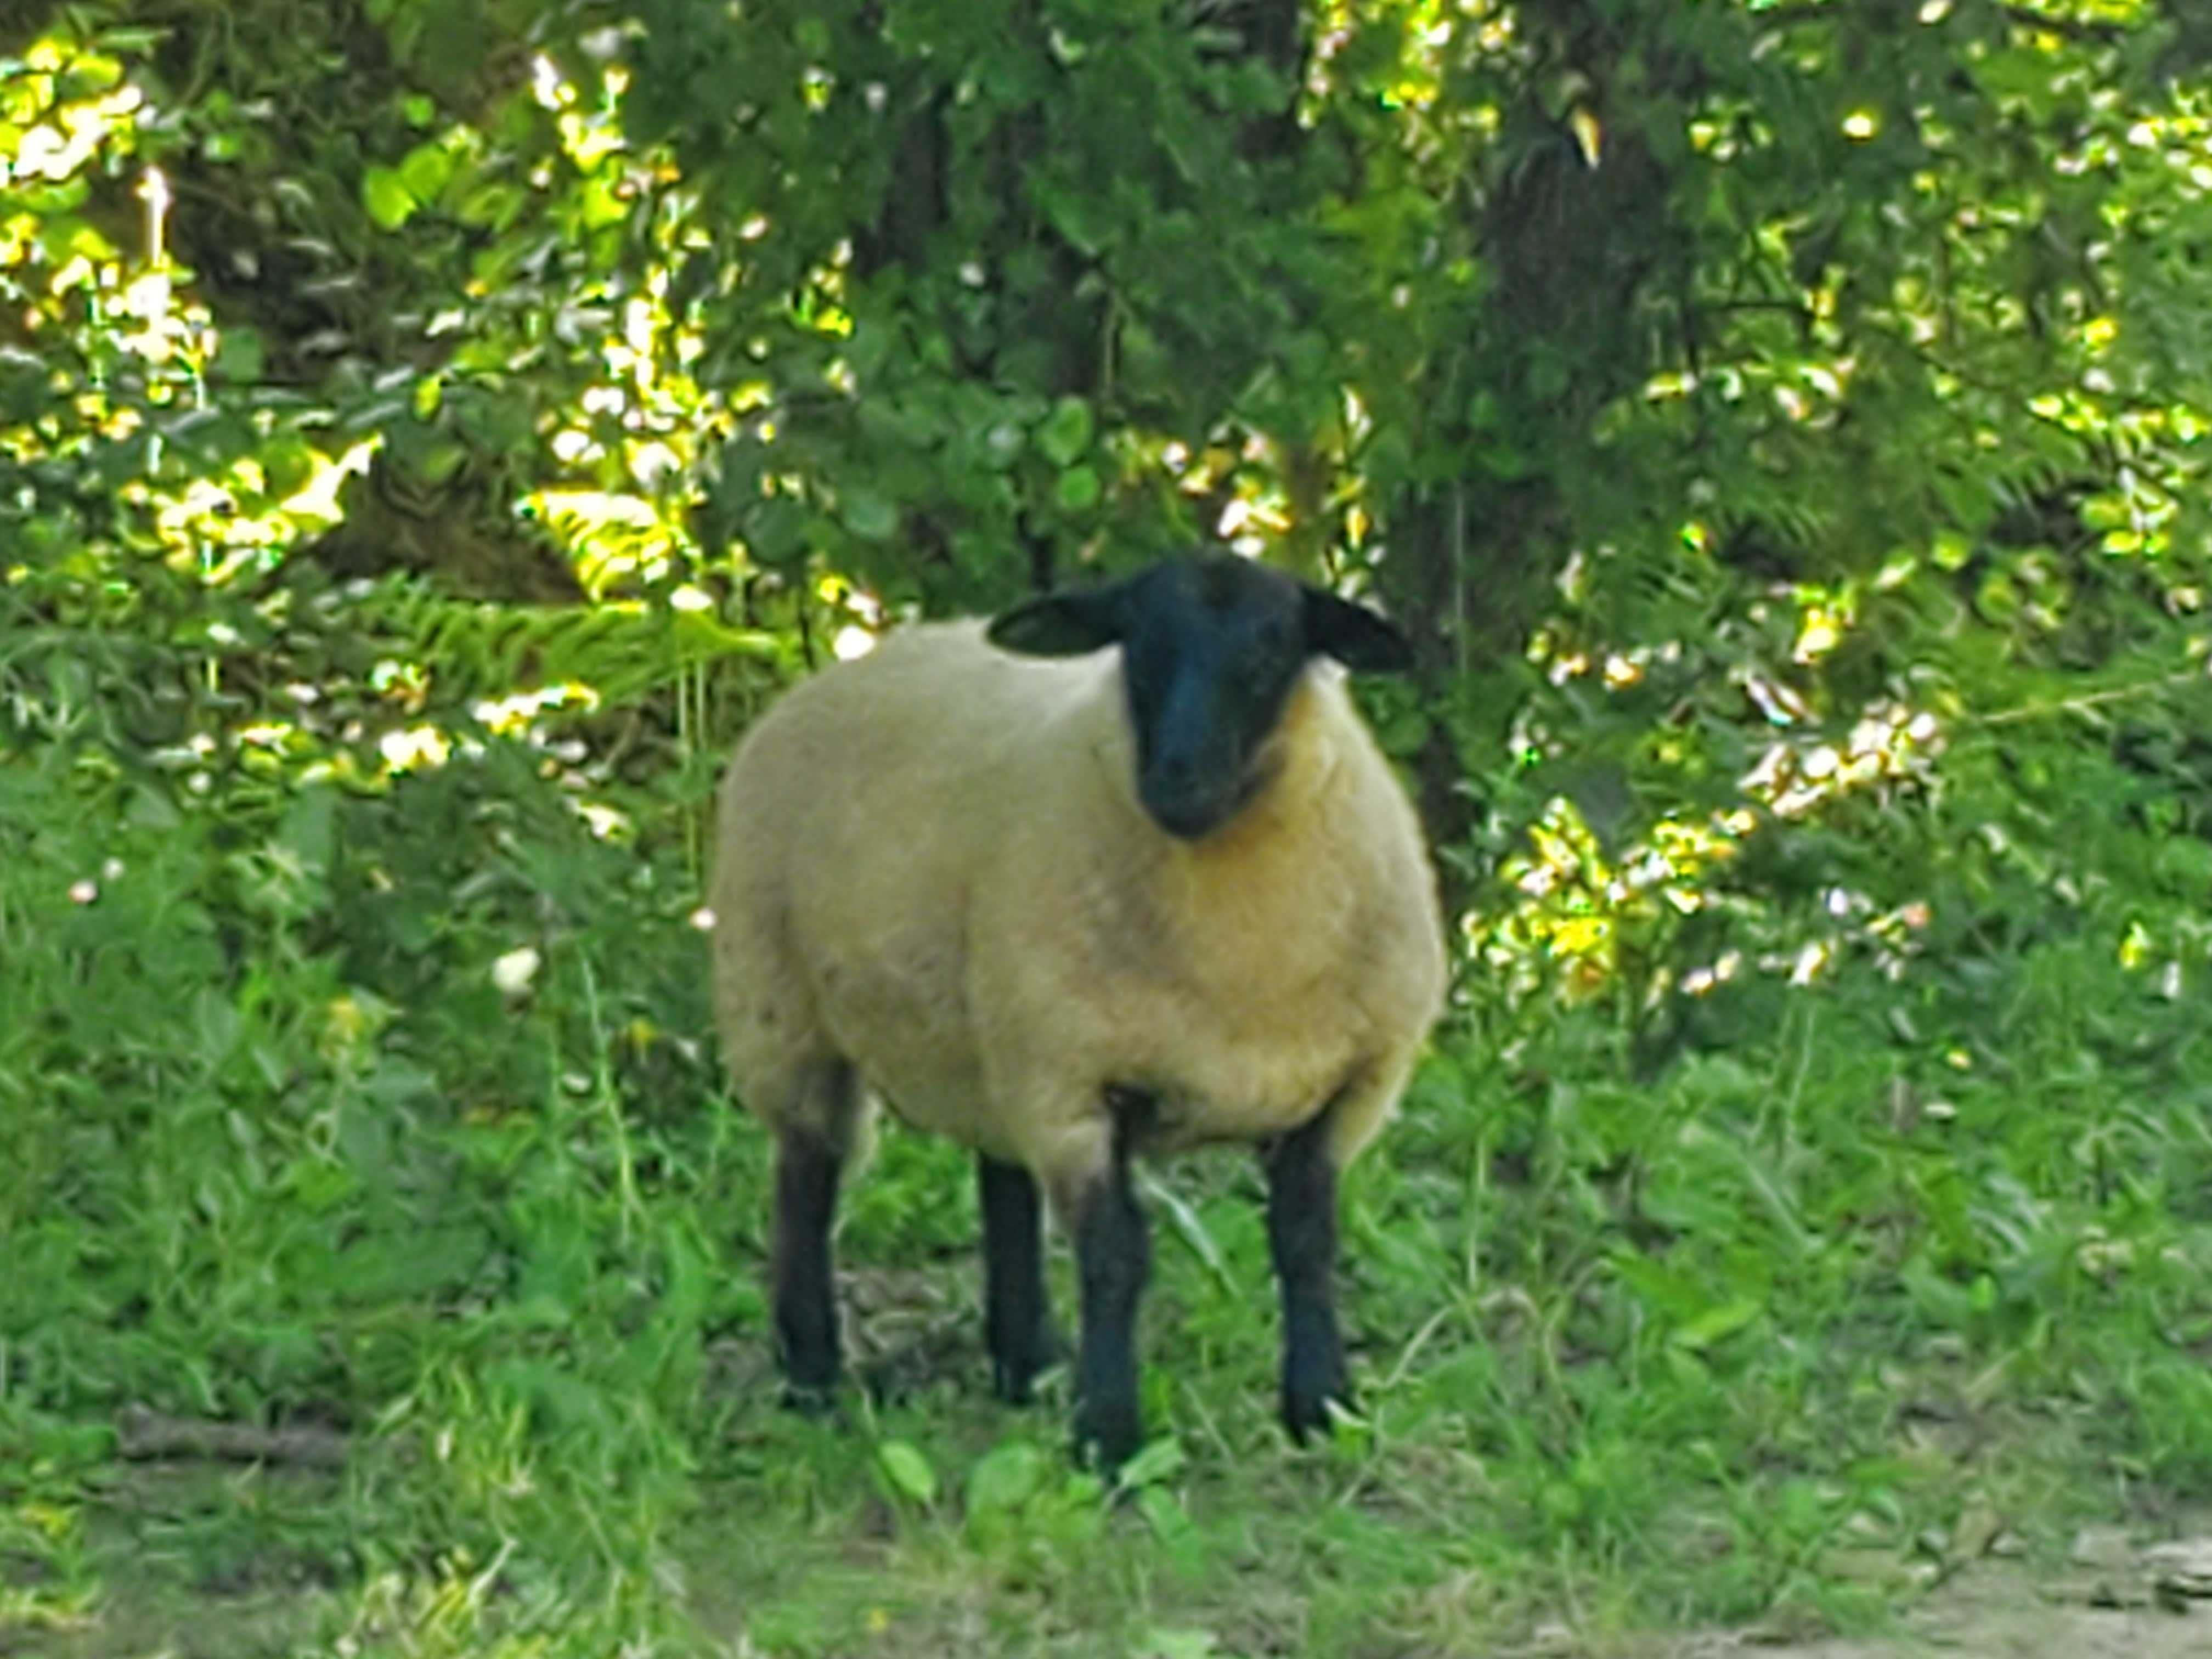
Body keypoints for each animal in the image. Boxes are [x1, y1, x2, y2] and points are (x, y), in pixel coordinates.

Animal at [712, 555, 1451, 1469]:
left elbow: (1306, 1243)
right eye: (1136, 645)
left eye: (1273, 651)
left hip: (989, 1041)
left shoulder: (1349, 1089)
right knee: (807, 1179)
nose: (1177, 782)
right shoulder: (1073, 1083)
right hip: (783, 1007)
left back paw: (1025, 1363)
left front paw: (1321, 1406)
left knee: (999, 1177)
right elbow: (1116, 1261)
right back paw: (814, 1376)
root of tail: (867, 658)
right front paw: (1109, 1436)